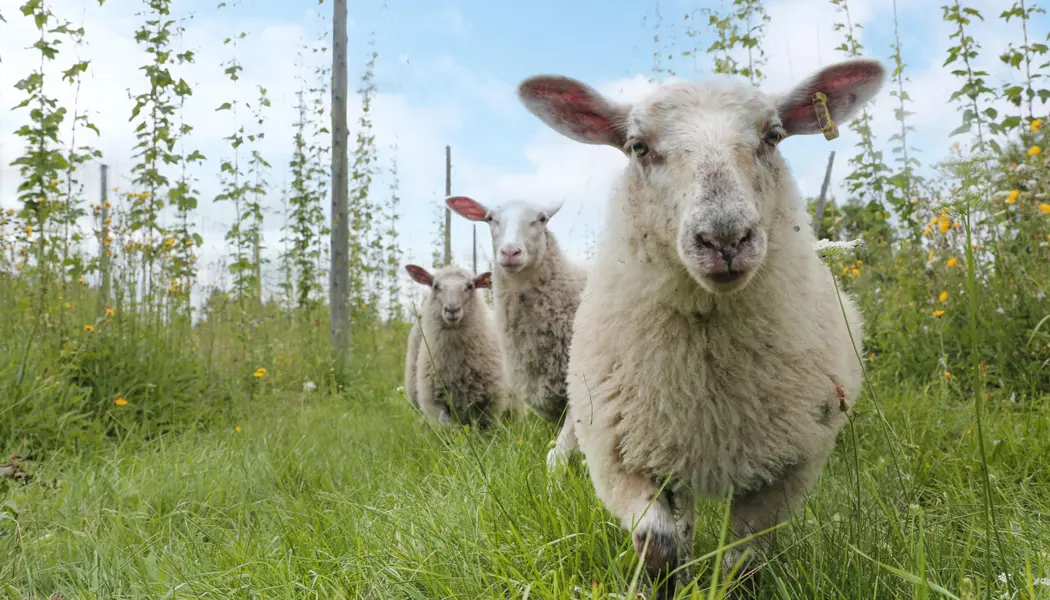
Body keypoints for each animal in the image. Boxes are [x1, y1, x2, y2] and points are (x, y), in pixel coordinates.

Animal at [403, 264, 506, 429]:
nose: (452, 309)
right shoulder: (435, 402)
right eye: (435, 286)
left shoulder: (490, 402)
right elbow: (447, 428)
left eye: (470, 286)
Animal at [516, 58, 884, 591]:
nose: (725, 237)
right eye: (638, 146)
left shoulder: (786, 470)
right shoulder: (619, 458)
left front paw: (726, 586)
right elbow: (657, 541)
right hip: (670, 445)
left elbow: (742, 559)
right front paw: (662, 584)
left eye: (774, 135)